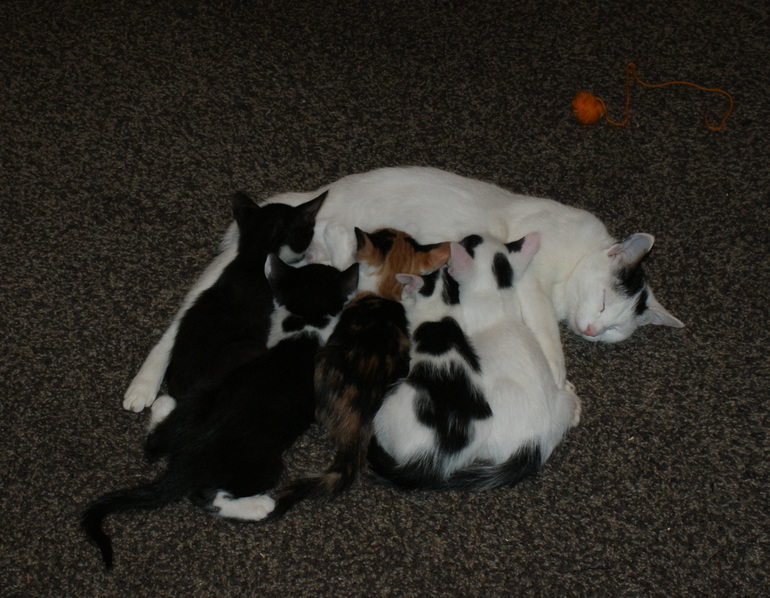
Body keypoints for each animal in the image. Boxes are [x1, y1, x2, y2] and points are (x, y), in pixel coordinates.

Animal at [82, 255, 359, 568]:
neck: (302, 330)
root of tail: (183, 463)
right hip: (263, 465)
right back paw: (258, 505)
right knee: (205, 496)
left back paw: (164, 404)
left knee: (153, 444)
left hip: (200, 399)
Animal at [264, 166, 685, 391]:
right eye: (602, 300)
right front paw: (557, 377)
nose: (594, 331)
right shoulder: (532, 279)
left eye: (614, 329)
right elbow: (548, 334)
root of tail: (320, 192)